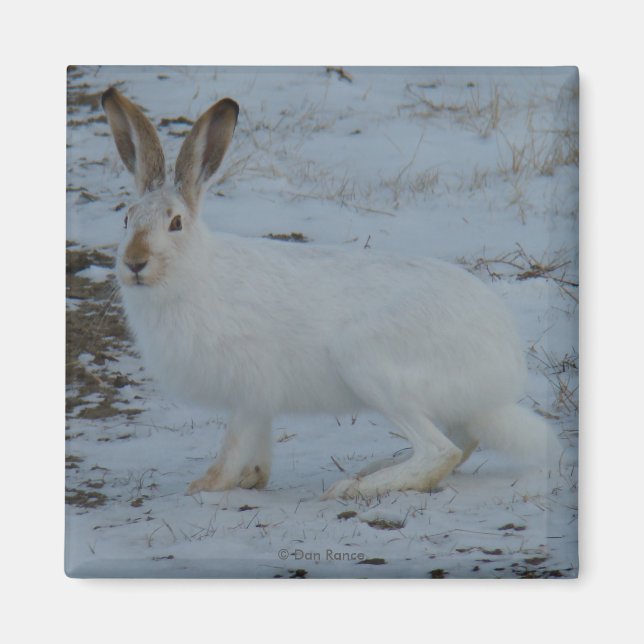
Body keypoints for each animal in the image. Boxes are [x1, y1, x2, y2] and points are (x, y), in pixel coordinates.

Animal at [101, 86, 555, 499]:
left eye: (176, 223)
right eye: (125, 219)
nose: (135, 263)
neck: (195, 273)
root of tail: (505, 369)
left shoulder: (250, 386)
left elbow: (234, 442)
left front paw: (208, 485)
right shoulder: (258, 401)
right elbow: (257, 443)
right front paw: (254, 477)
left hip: (369, 364)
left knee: (440, 452)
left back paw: (354, 487)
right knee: (461, 443)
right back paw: (374, 468)